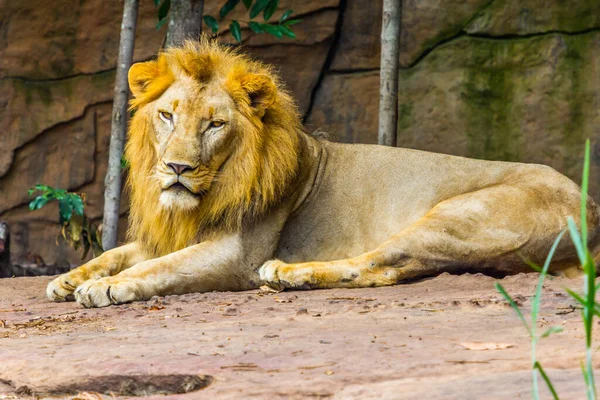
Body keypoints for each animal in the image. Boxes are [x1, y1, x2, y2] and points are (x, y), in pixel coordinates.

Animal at [45, 38, 600, 306]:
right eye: (167, 115)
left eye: (215, 124)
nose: (177, 167)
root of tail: (591, 206)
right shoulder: (173, 232)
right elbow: (116, 253)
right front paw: (68, 280)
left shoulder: (237, 253)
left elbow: (156, 268)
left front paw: (105, 289)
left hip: (458, 215)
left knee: (378, 264)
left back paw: (287, 275)